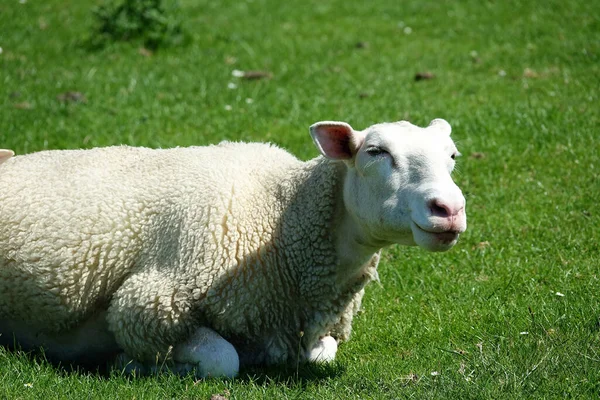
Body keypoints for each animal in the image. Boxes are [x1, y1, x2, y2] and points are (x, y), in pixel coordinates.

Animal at [0, 119, 466, 378]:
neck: (280, 214)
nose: (450, 209)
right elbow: (224, 361)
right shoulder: (148, 305)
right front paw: (135, 365)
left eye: (453, 156)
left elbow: (322, 355)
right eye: (375, 151)